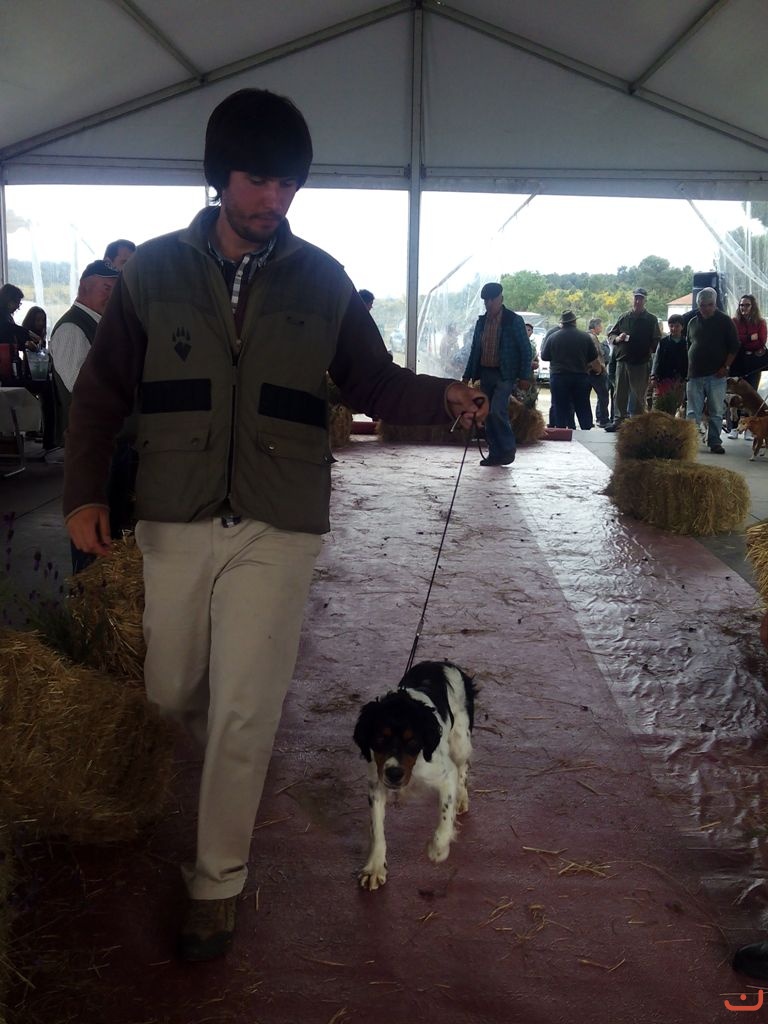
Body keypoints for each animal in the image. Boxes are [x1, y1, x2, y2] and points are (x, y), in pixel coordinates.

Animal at [352, 659, 477, 891]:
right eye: (379, 738)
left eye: (412, 740)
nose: (394, 774)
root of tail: (443, 662)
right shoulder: (376, 785)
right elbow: (377, 830)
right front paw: (375, 867)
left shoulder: (446, 775)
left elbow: (445, 816)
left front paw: (438, 850)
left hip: (461, 741)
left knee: (464, 766)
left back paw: (462, 798)